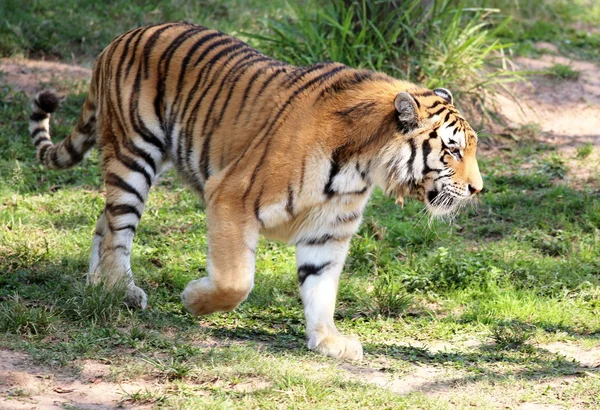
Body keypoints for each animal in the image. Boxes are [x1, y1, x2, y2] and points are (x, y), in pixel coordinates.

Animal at [30, 21, 486, 358]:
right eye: (451, 149)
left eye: (472, 147)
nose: (478, 189)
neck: (361, 165)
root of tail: (120, 38)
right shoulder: (230, 197)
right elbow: (236, 282)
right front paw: (194, 300)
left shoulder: (329, 230)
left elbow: (321, 287)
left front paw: (328, 340)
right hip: (134, 154)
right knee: (118, 228)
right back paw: (119, 289)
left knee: (103, 221)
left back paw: (100, 285)